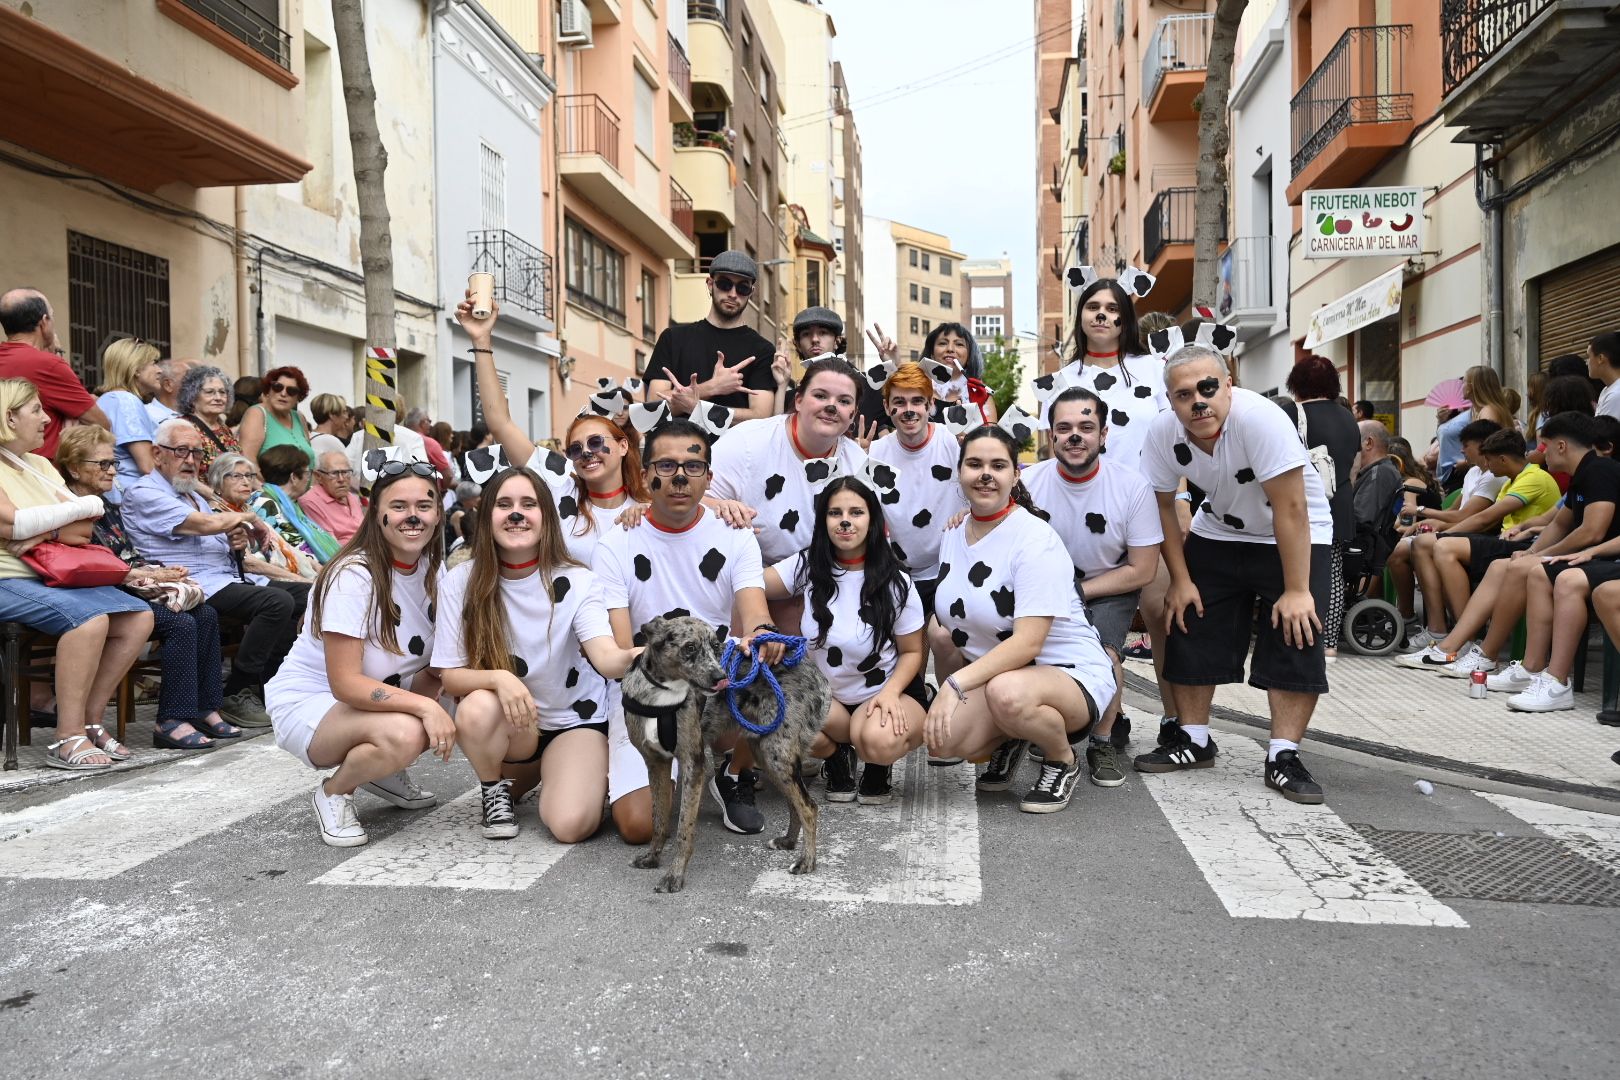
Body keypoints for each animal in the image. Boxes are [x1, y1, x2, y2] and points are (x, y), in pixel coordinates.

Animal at [622, 615, 835, 893]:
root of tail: (817, 674)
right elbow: (658, 820)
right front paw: (652, 858)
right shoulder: (655, 762)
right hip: (766, 753)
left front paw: (675, 875)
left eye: (715, 645)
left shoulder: (693, 764)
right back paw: (788, 842)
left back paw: (807, 861)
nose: (721, 677)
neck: (663, 696)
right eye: (689, 647)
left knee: (809, 807)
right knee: (795, 802)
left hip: (777, 754)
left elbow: (683, 829)